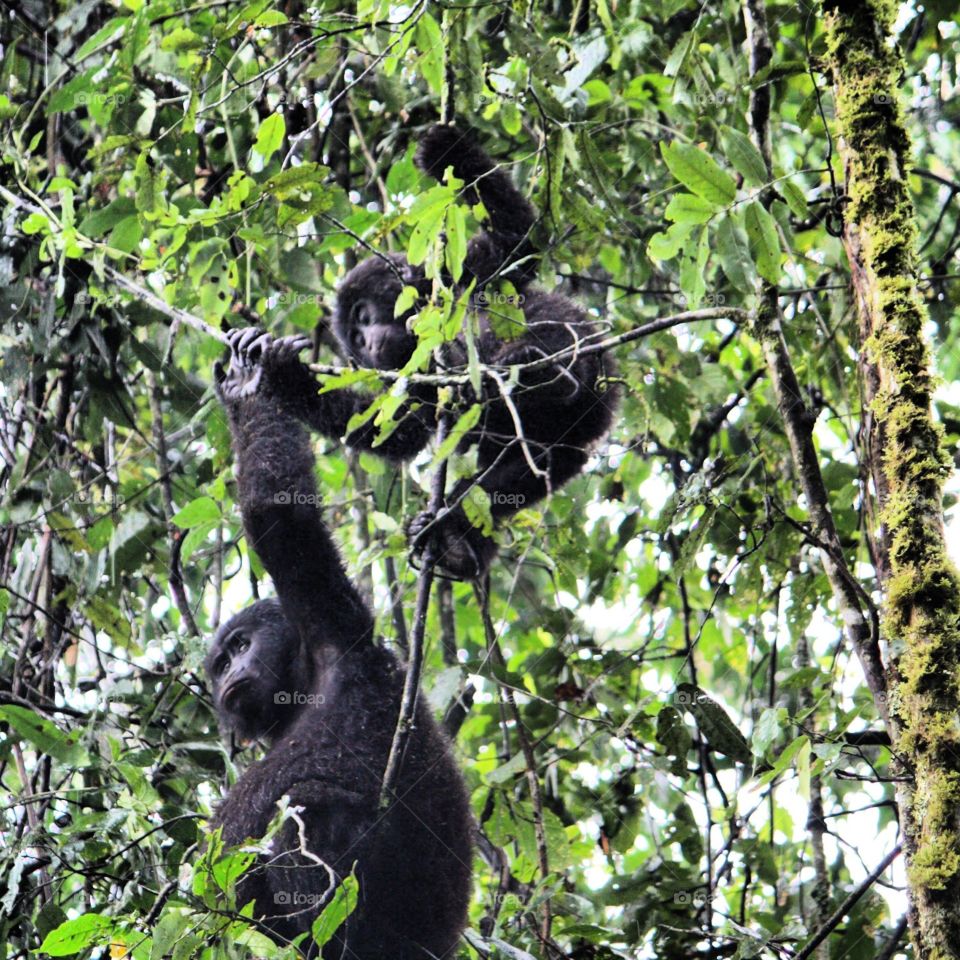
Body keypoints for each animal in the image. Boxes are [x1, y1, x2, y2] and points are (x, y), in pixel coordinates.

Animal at [206, 330, 473, 958]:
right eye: (219, 663)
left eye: (240, 646)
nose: (228, 675)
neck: (300, 687)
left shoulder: (329, 618)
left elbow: (277, 512)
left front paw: (250, 386)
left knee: (308, 810)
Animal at [257, 124, 618, 579]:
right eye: (354, 339)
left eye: (363, 315)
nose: (368, 344)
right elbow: (398, 430)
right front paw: (284, 375)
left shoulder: (464, 270)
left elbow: (517, 243)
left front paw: (449, 151)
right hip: (565, 444)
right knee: (512, 477)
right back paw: (456, 543)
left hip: (590, 365)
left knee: (548, 337)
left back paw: (544, 374)